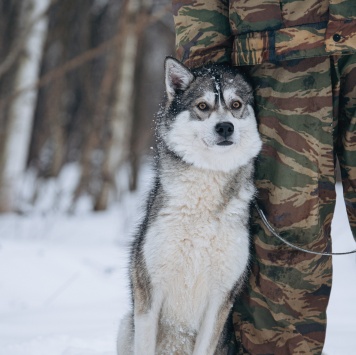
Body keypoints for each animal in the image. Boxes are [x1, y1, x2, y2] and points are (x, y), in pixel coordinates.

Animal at [117, 57, 262, 354]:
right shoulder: (149, 292)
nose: (225, 127)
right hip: (125, 327)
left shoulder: (220, 298)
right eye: (203, 106)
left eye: (236, 105)